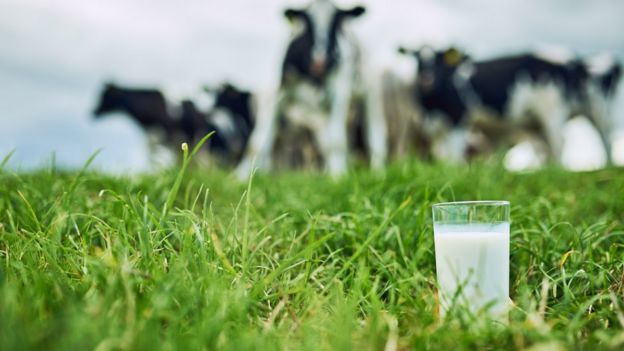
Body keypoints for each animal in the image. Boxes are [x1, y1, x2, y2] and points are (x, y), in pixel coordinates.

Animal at [236, 0, 388, 180]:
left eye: (336, 22)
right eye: (308, 24)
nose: (320, 62)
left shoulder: (339, 93)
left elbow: (337, 141)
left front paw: (338, 177)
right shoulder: (278, 93)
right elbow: (257, 142)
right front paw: (239, 177)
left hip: (371, 92)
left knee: (375, 133)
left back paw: (378, 172)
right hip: (319, 116)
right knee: (325, 142)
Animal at [398, 45, 620, 164]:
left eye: (438, 59)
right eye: (416, 59)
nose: (426, 79)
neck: (431, 104)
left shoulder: (458, 119)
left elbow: (454, 155)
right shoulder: (436, 127)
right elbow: (442, 155)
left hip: (566, 110)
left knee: (583, 140)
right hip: (538, 121)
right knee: (548, 146)